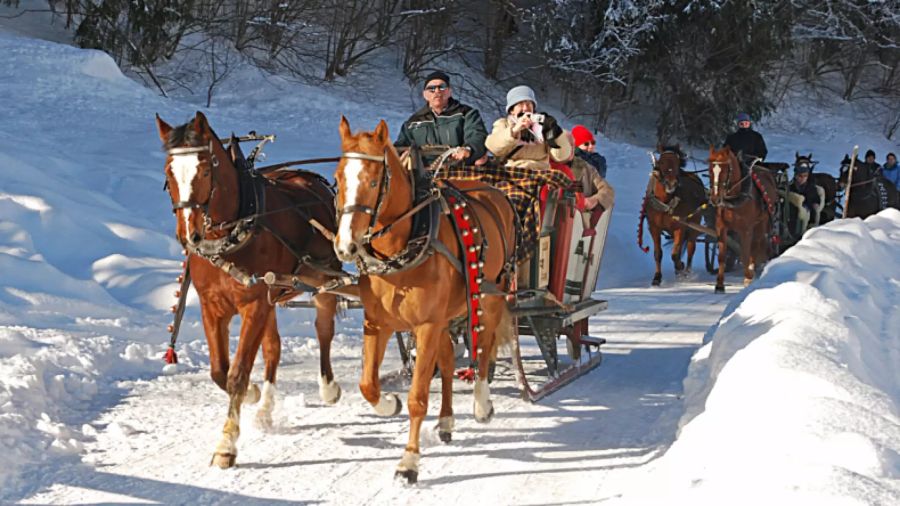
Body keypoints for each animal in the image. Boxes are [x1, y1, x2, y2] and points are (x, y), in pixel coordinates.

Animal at [156, 112, 342, 468]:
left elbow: (238, 373)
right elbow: (220, 371)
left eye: (204, 169)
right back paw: (266, 408)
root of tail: (312, 179)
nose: (189, 235)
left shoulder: (254, 304)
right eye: (168, 171)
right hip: (273, 292)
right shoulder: (214, 306)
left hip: (323, 277)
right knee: (273, 348)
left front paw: (226, 445)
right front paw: (253, 394)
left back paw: (328, 387)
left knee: (324, 326)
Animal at [332, 116, 516, 484]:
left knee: (484, 349)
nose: (345, 245)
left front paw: (409, 462)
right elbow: (367, 383)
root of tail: (491, 191)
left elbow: (418, 397)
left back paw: (481, 403)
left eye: (373, 180)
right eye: (338, 177)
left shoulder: (427, 325)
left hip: (490, 296)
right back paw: (446, 421)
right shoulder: (379, 322)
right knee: (446, 364)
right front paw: (388, 403)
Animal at [644, 145, 708, 284]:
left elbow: (674, 254)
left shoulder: (680, 227)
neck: (665, 203)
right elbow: (658, 253)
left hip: (694, 226)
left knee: (690, 248)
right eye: (662, 162)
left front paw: (680, 267)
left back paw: (686, 271)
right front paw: (657, 277)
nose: (671, 184)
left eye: (677, 163)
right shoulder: (654, 228)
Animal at [712, 146, 772, 292]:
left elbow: (745, 254)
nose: (715, 199)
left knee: (756, 244)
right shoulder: (721, 227)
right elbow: (722, 256)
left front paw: (748, 277)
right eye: (710, 169)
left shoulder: (746, 229)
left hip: (761, 223)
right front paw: (719, 284)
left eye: (725, 170)